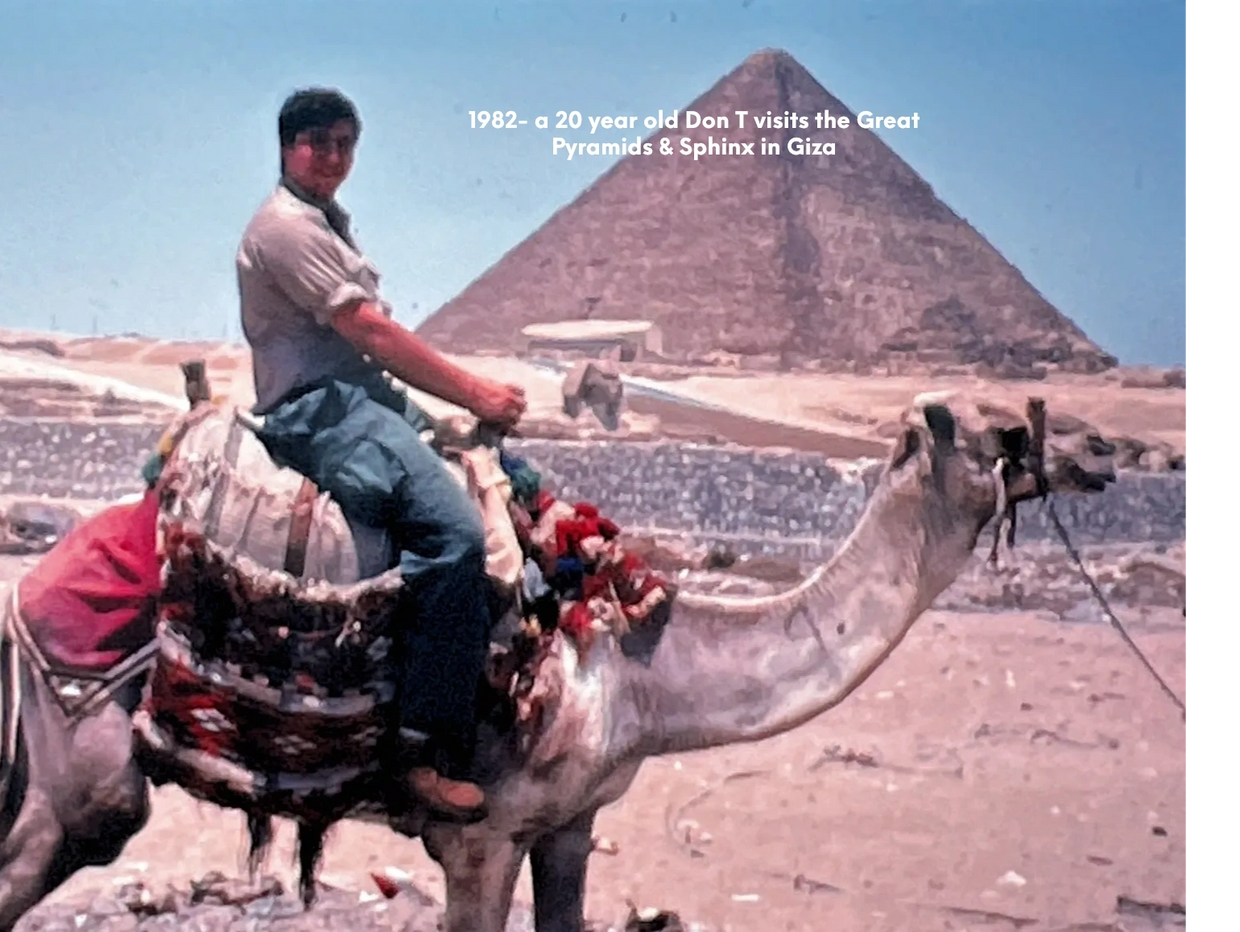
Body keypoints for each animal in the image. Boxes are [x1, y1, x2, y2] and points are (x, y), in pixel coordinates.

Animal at [0, 389, 1116, 927]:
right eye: (1007, 428)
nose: (1104, 450)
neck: (637, 667)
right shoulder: (480, 834)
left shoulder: (572, 822)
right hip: (76, 777)